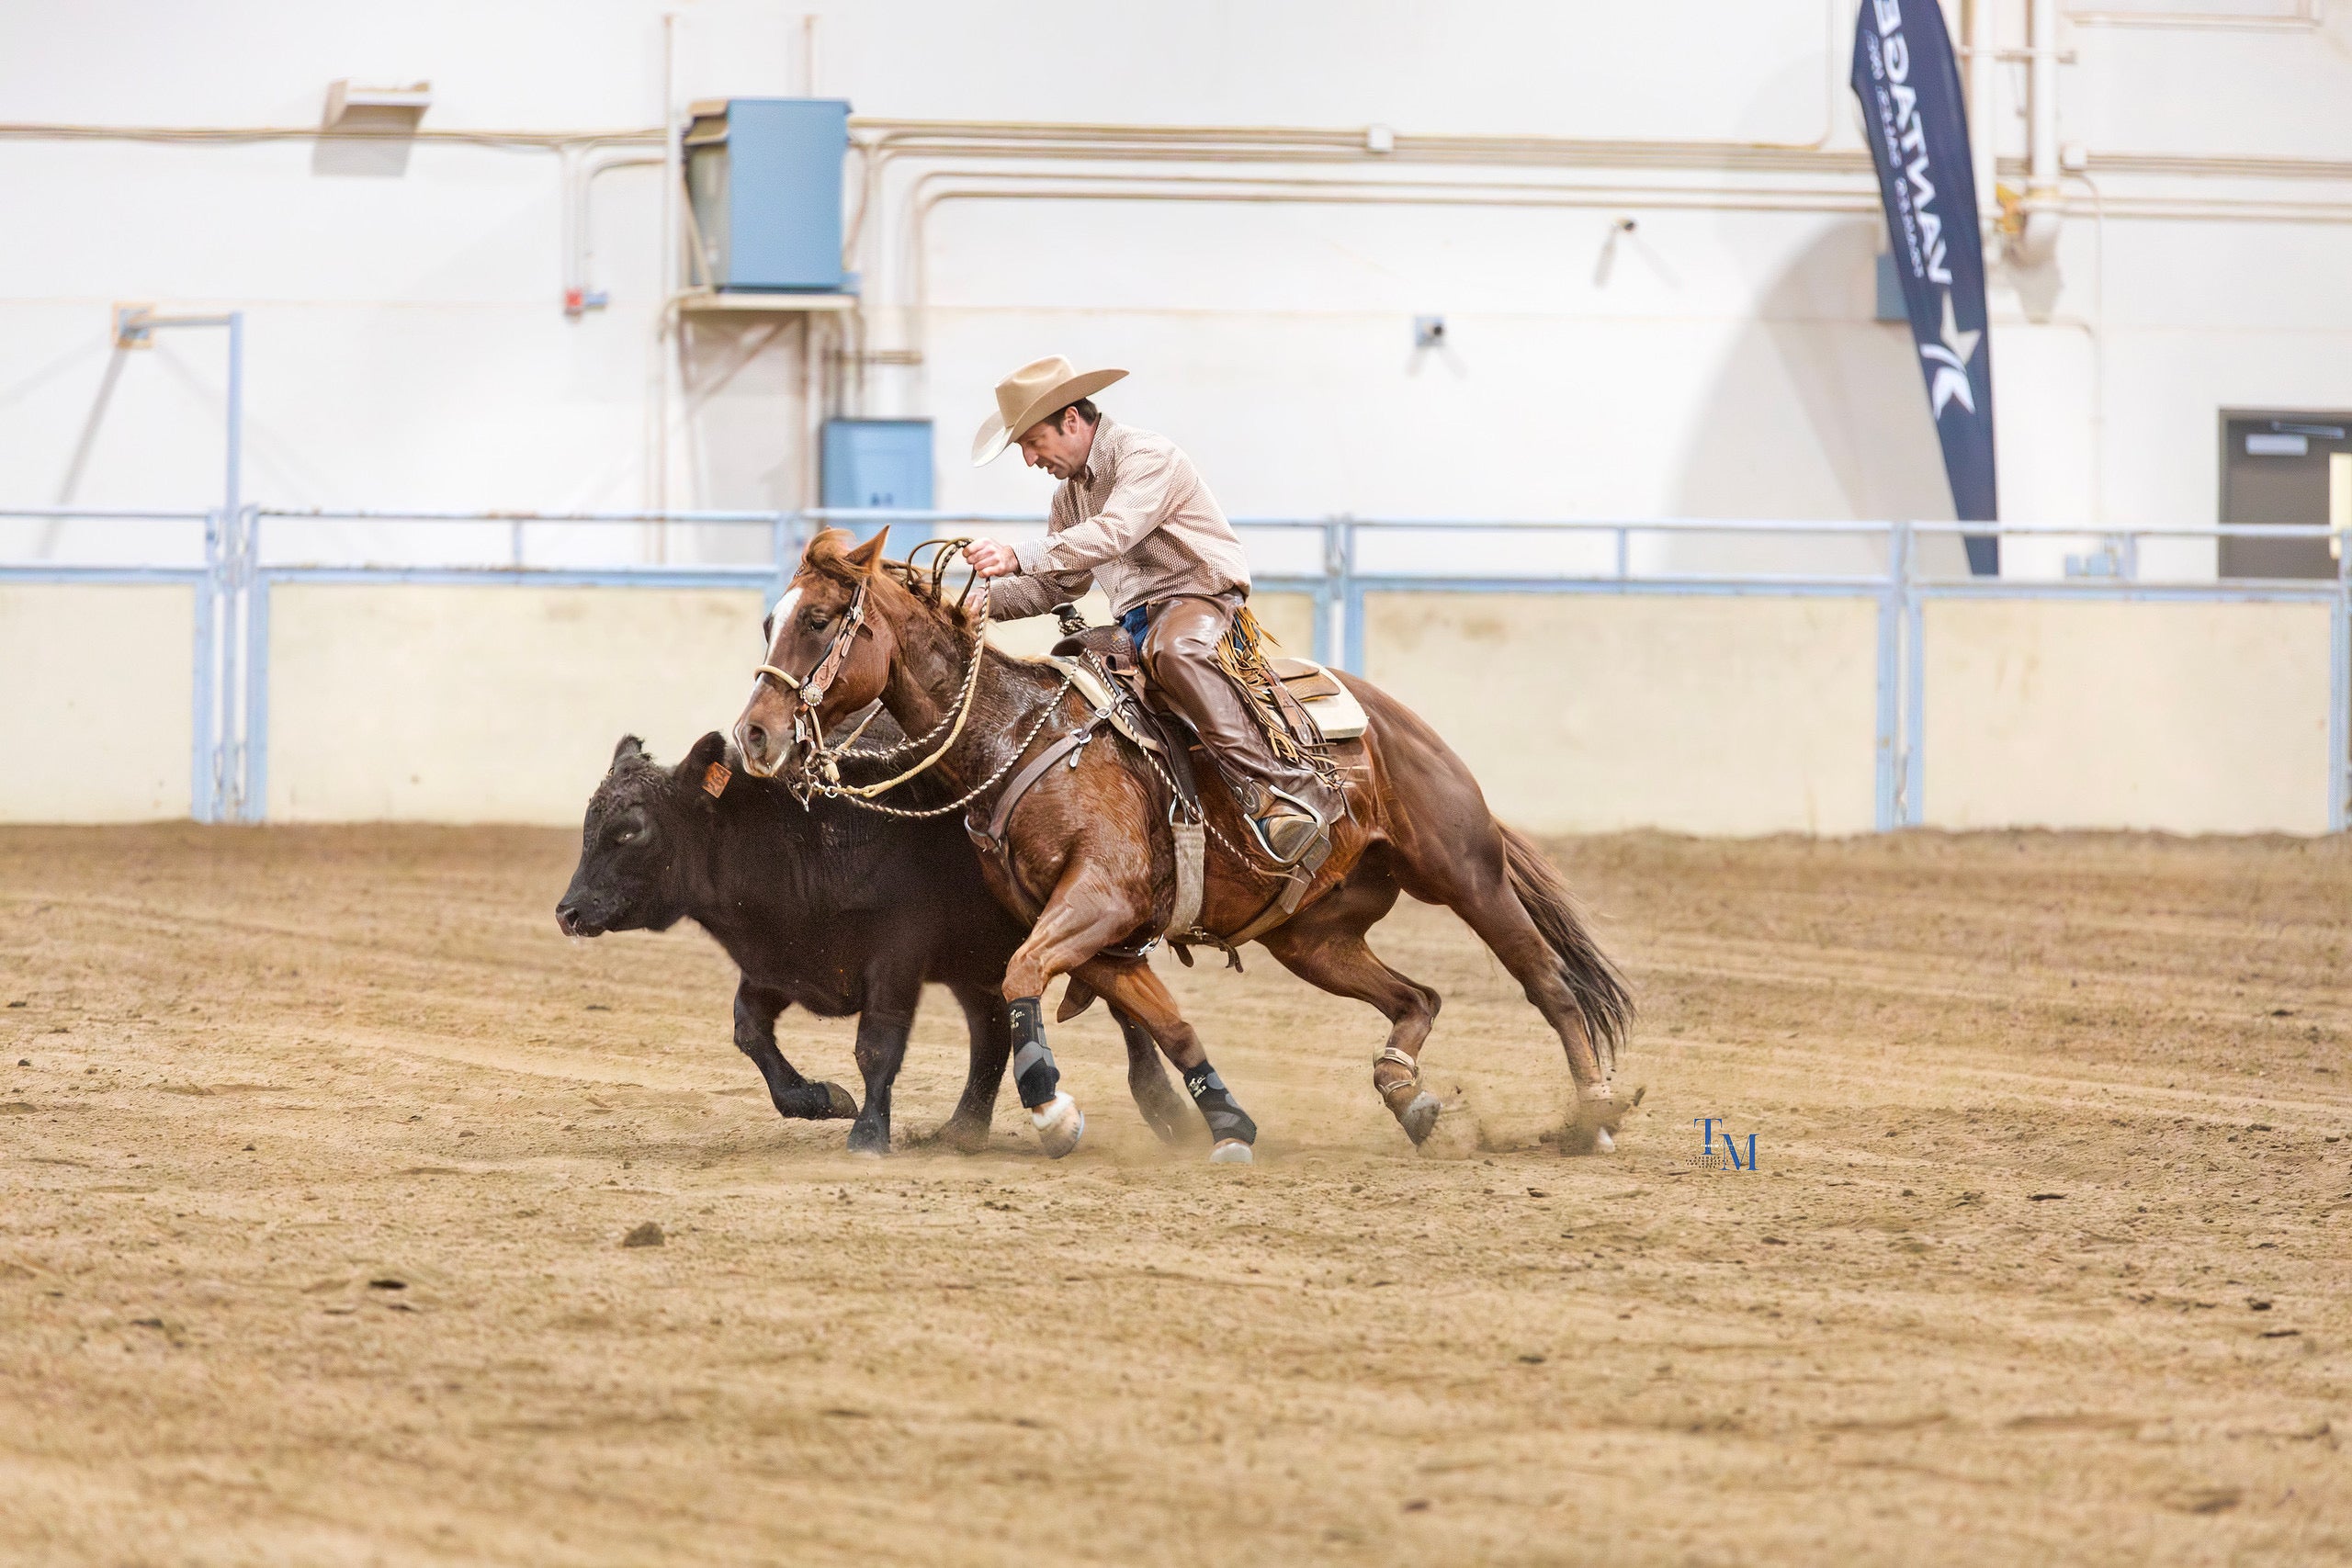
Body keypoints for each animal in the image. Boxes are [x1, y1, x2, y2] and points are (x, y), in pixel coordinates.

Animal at [555, 730, 1196, 1155]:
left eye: (630, 830)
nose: (568, 911)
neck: (804, 835)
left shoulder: (895, 956)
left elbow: (877, 1045)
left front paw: (867, 1134)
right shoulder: (783, 961)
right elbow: (749, 1029)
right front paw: (821, 1100)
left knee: (1129, 1013)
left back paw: (1167, 1112)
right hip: (974, 963)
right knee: (991, 1030)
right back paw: (962, 1130)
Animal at [731, 529, 1633, 1161]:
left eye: (818, 618)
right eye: (769, 620)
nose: (755, 734)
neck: (1018, 736)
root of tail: (1396, 721)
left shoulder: (1099, 899)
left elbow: (1022, 974)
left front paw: (1053, 1107)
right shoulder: (1102, 937)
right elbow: (1170, 1025)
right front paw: (1224, 1120)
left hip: (1465, 873)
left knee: (1548, 983)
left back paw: (1592, 1113)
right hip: (1314, 937)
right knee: (1419, 998)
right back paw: (1408, 1097)